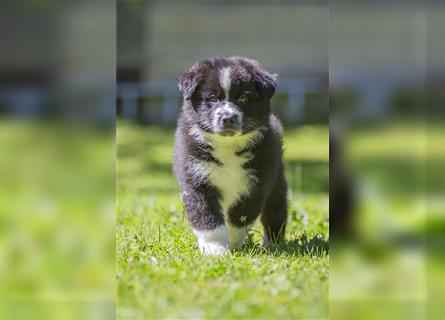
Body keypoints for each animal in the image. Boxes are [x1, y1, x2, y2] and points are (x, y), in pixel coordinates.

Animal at [172, 56, 286, 256]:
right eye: (212, 98)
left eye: (243, 98)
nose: (227, 118)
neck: (227, 146)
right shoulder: (197, 179)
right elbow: (208, 219)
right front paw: (215, 249)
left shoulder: (256, 183)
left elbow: (239, 217)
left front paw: (231, 243)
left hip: (276, 183)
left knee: (275, 213)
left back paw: (272, 244)